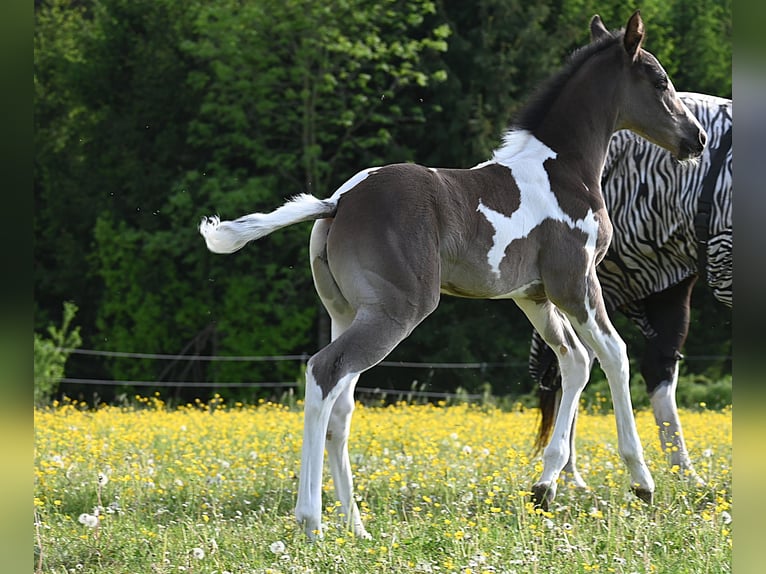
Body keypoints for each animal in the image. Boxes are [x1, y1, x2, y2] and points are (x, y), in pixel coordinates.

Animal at [199, 11, 706, 538]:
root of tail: (337, 202)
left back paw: (356, 526)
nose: (697, 139)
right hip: (398, 310)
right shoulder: (575, 284)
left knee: (342, 402)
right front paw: (641, 481)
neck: (563, 170)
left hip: (347, 312)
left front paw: (544, 487)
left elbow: (574, 362)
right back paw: (312, 521)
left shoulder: (533, 296)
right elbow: (613, 355)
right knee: (323, 372)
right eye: (660, 80)